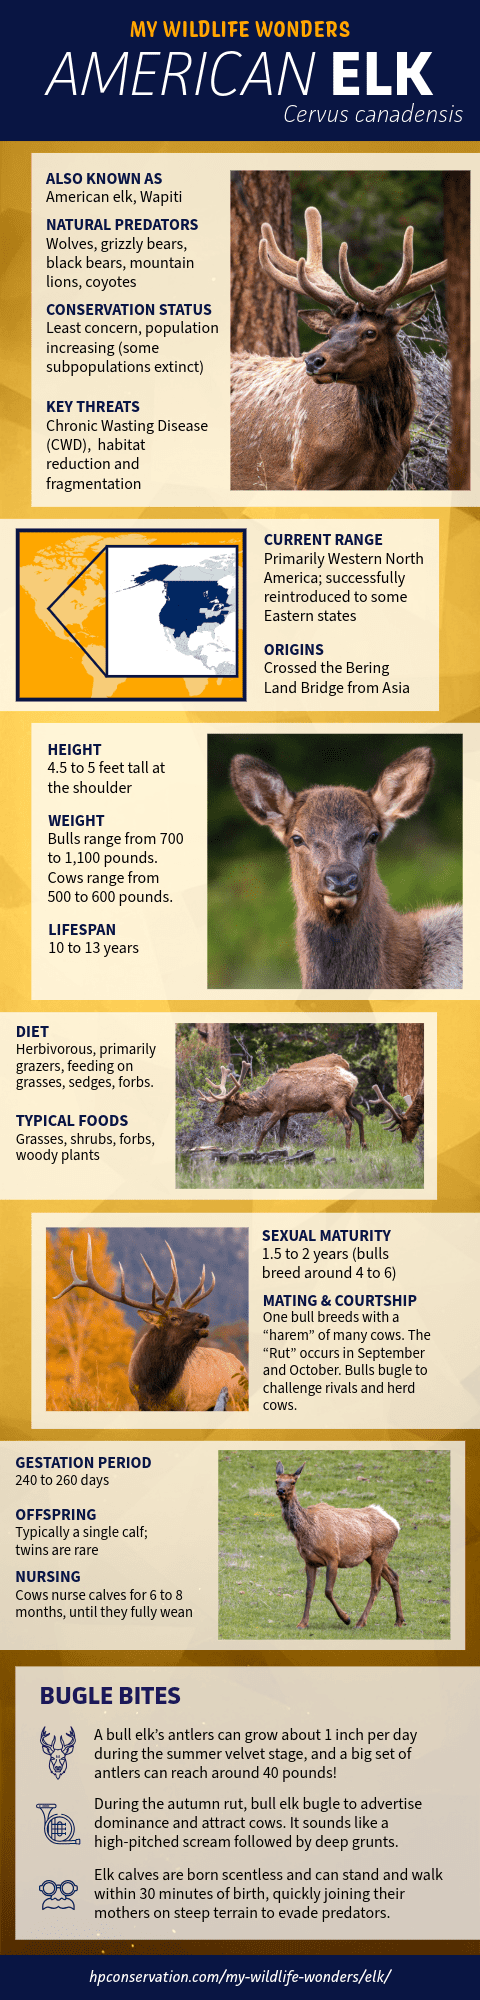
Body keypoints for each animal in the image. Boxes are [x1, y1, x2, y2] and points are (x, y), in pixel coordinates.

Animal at [55, 1235, 248, 1412]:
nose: (205, 1316)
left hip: (235, 1400)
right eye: (174, 1318)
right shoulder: (141, 1403)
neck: (155, 1387)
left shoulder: (183, 1404)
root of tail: (240, 1365)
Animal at [200, 1052, 366, 1152]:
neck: (267, 1098)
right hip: (348, 1100)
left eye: (227, 1107)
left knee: (347, 1122)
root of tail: (353, 1079)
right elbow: (281, 1134)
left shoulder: (278, 1109)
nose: (216, 1122)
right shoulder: (286, 1113)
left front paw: (256, 1148)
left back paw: (347, 1147)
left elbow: (265, 1128)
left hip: (337, 1101)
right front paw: (280, 1150)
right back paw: (363, 1145)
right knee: (360, 1116)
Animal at [231, 207, 447, 490]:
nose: (313, 361)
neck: (377, 445)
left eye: (370, 332)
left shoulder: (381, 480)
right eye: (331, 332)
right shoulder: (305, 475)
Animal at [275, 1462, 405, 1633]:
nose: (281, 1491)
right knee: (394, 1577)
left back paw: (360, 1622)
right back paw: (399, 1620)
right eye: (277, 1480)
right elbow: (309, 1591)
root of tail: (395, 1524)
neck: (306, 1531)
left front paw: (346, 1618)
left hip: (380, 1551)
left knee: (376, 1586)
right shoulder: (309, 1561)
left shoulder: (333, 1557)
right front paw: (302, 1623)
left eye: (293, 1482)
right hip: (373, 1555)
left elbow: (328, 1591)